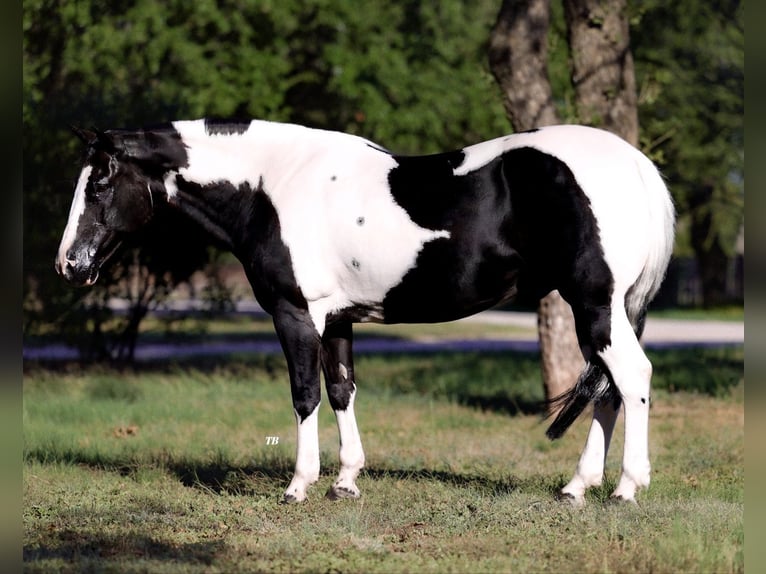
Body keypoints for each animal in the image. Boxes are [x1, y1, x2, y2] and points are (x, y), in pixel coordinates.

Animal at [55, 119, 680, 506]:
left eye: (101, 180)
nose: (69, 263)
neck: (273, 184)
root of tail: (634, 162)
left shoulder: (296, 315)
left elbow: (305, 394)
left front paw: (299, 485)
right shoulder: (338, 319)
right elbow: (341, 390)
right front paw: (346, 482)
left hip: (595, 305)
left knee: (632, 379)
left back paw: (626, 488)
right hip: (602, 311)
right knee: (607, 390)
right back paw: (578, 487)